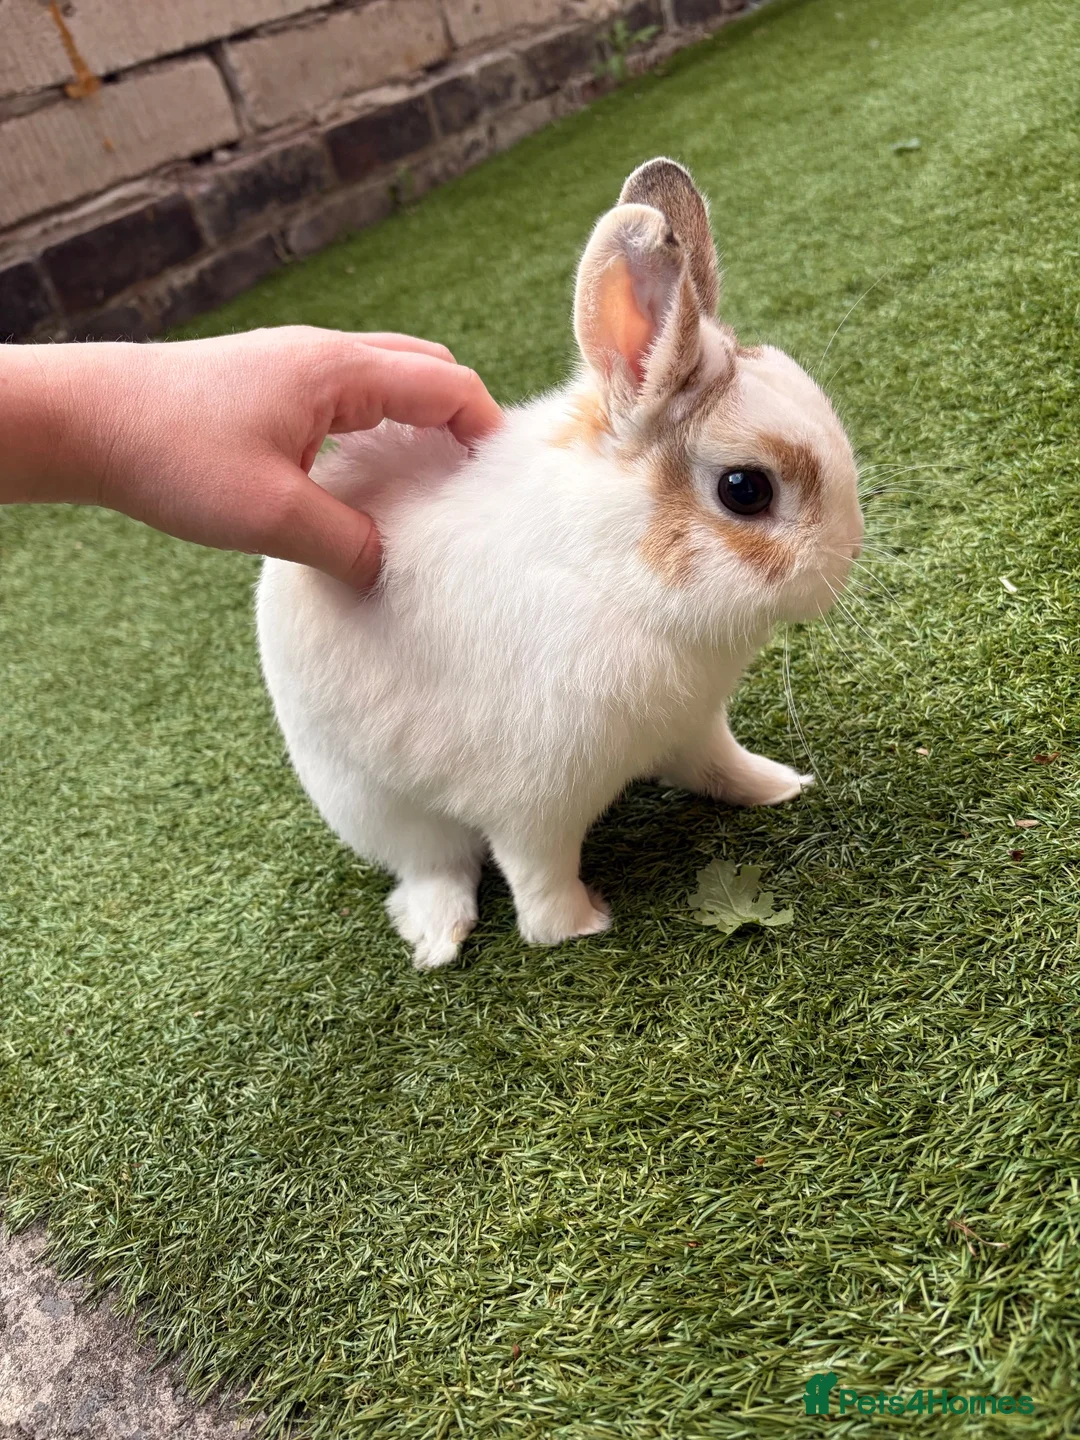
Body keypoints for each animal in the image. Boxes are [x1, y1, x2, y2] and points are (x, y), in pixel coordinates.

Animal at [257, 157, 863, 971]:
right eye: (746, 490)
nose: (848, 554)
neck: (618, 580)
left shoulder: (694, 725)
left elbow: (719, 766)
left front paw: (780, 787)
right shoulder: (531, 799)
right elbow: (538, 872)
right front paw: (574, 927)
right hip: (371, 801)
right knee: (434, 866)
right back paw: (439, 939)